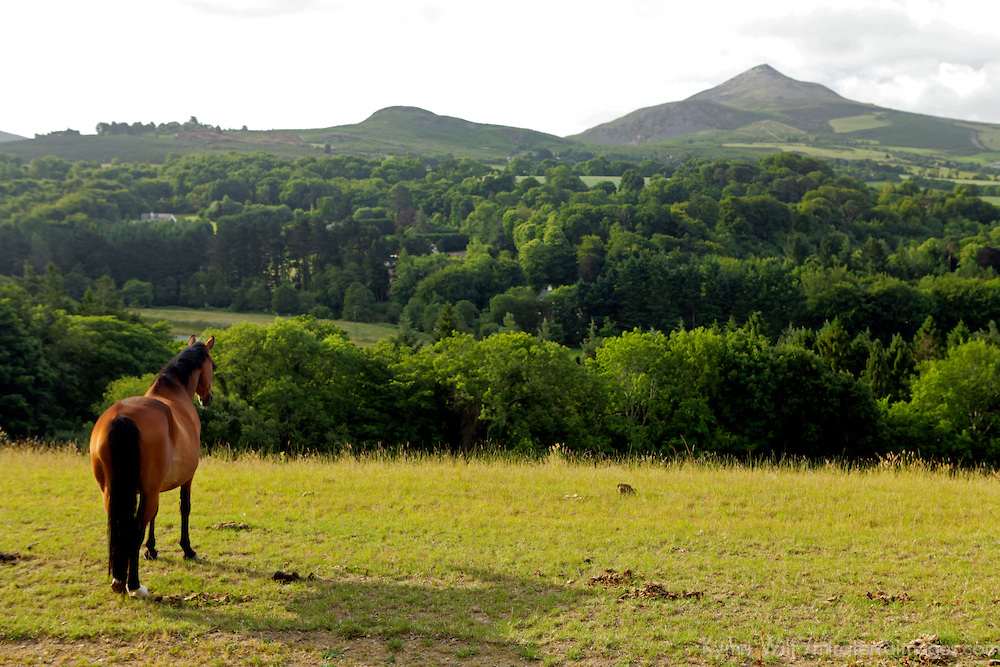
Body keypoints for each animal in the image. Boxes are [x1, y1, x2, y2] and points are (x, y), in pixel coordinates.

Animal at [90, 336, 215, 596]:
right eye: (213, 366)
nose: (208, 397)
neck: (174, 393)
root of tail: (122, 417)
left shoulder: (155, 487)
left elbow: (155, 515)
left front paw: (151, 549)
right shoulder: (186, 478)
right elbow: (184, 507)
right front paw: (188, 550)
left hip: (112, 492)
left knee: (121, 526)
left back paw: (118, 580)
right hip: (148, 490)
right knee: (135, 528)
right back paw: (134, 585)